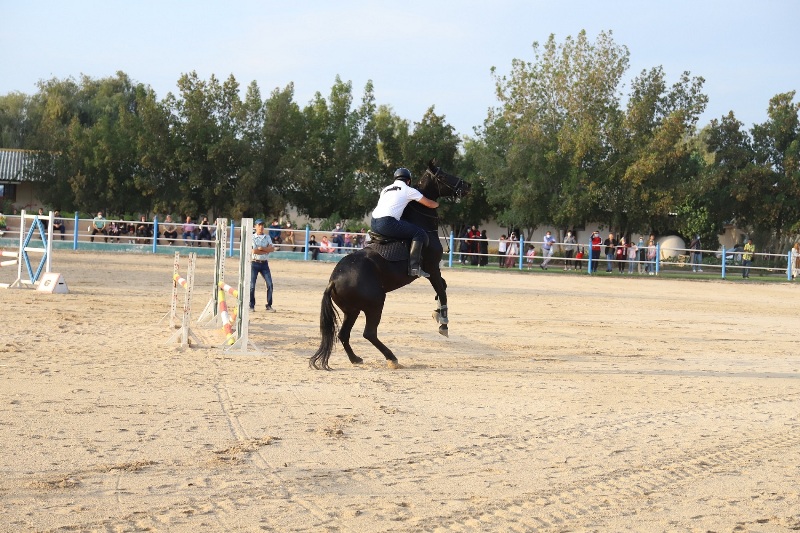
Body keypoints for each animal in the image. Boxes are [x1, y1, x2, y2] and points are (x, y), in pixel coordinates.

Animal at [308, 160, 468, 370]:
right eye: (442, 176)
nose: (467, 186)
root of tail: (333, 281)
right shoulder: (432, 268)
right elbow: (442, 291)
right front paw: (443, 323)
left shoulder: (434, 270)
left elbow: (442, 287)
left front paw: (437, 311)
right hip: (376, 303)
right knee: (369, 333)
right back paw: (392, 358)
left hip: (352, 310)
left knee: (344, 334)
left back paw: (356, 358)